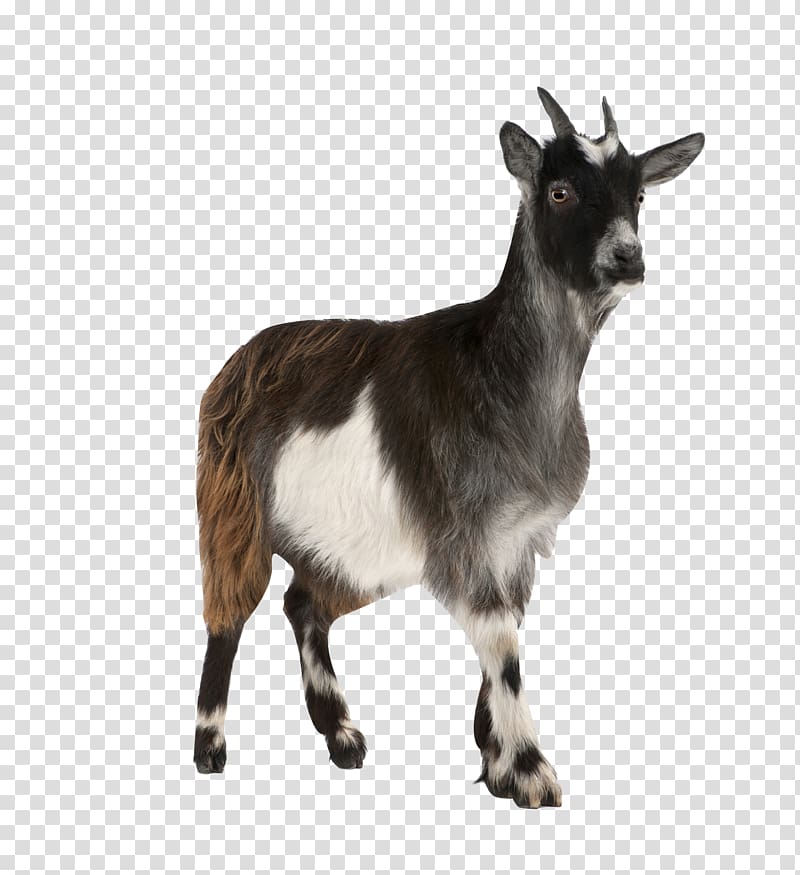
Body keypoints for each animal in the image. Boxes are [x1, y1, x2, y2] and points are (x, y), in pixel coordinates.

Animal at [193, 88, 704, 808]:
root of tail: (236, 363)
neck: (499, 369)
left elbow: (500, 644)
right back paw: (211, 747)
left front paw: (495, 762)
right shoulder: (464, 530)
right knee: (230, 612)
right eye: (560, 191)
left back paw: (342, 735)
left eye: (638, 195)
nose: (627, 257)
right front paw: (531, 774)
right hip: (234, 504)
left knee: (304, 605)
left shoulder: (516, 539)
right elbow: (503, 647)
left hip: (353, 543)